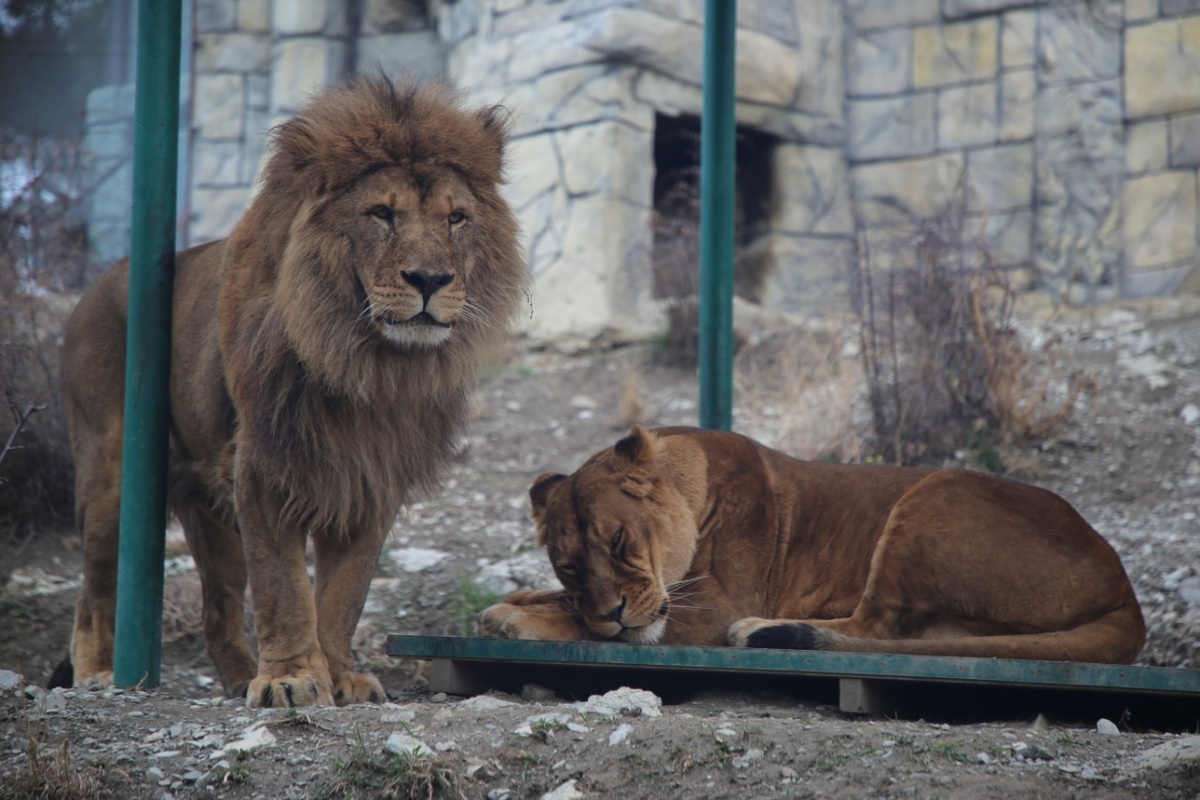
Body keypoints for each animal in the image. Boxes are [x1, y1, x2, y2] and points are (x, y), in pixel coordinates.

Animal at [55, 77, 525, 705]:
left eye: (456, 218)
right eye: (382, 213)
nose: (430, 280)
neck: (369, 364)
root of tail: (95, 284)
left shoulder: (373, 479)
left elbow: (345, 594)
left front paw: (340, 675)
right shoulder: (262, 467)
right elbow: (284, 586)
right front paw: (291, 678)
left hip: (210, 511)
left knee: (217, 609)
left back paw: (235, 679)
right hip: (110, 476)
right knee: (94, 589)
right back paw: (100, 674)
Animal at [475, 424, 1142, 662]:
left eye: (618, 543)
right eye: (569, 568)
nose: (612, 611)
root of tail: (1125, 592)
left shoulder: (714, 605)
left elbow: (586, 624)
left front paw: (513, 618)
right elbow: (557, 603)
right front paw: (515, 603)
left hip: (937, 493)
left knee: (878, 631)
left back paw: (764, 632)